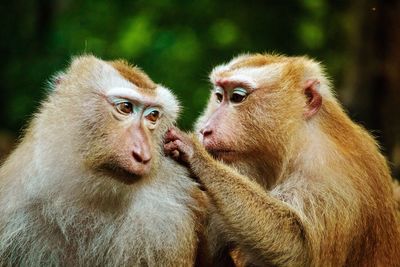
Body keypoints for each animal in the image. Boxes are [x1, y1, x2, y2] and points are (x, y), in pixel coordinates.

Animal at [165, 53, 400, 266]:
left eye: (238, 97)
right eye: (219, 96)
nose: (205, 129)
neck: (297, 142)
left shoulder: (329, 178)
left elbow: (298, 248)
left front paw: (196, 156)